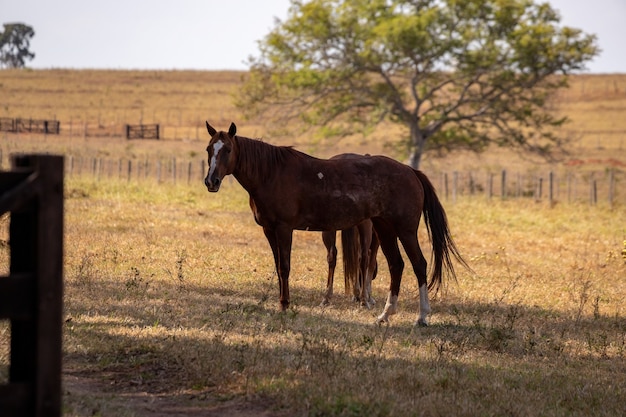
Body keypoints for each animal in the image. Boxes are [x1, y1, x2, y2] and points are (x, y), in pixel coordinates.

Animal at [202, 120, 466, 324]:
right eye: (208, 149)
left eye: (227, 149)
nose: (211, 181)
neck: (271, 173)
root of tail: (411, 171)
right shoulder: (269, 230)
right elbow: (278, 267)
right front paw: (281, 303)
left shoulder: (284, 229)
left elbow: (285, 267)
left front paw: (285, 305)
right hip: (384, 228)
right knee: (396, 265)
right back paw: (385, 315)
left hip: (405, 229)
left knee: (419, 264)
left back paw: (422, 317)